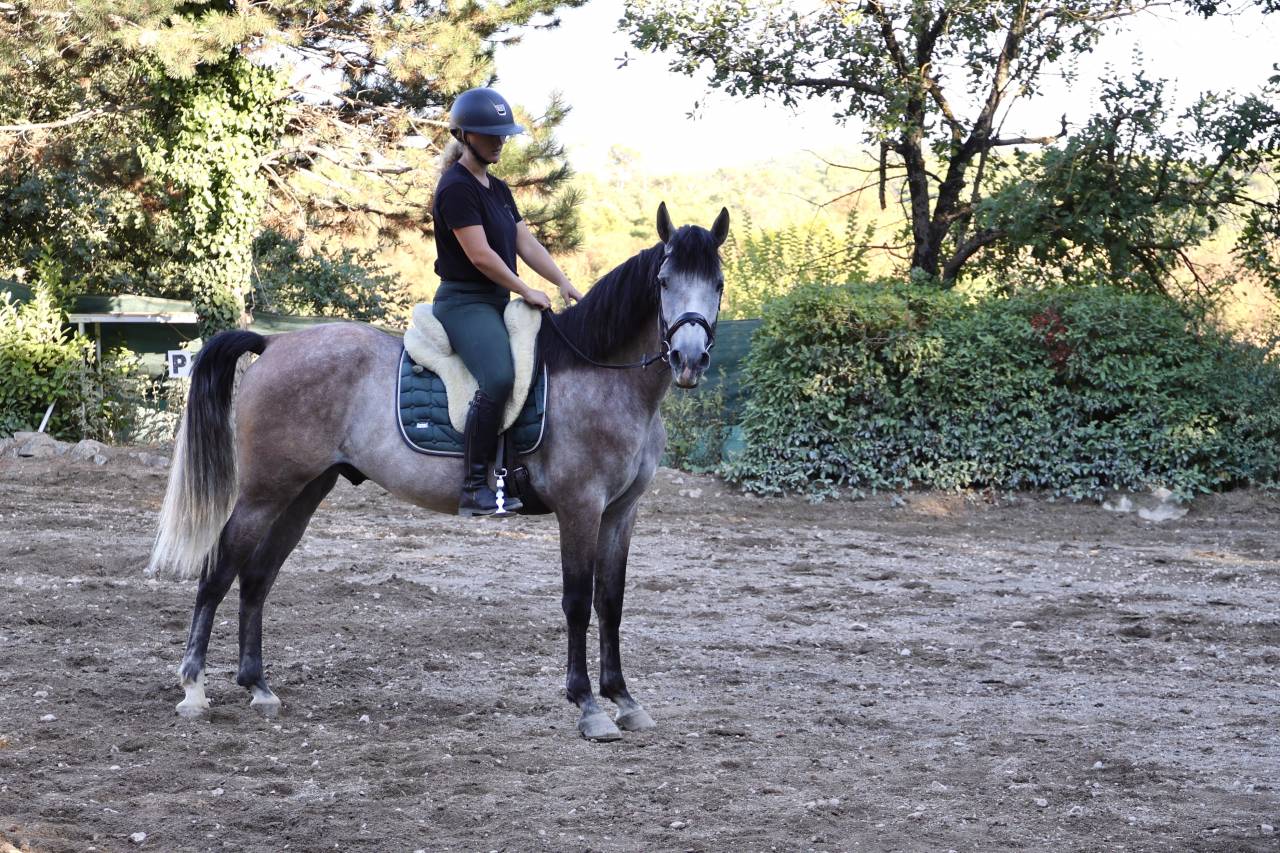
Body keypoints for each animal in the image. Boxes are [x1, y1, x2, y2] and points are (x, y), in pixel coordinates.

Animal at [148, 202, 730, 741]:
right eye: (663, 282)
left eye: (718, 284)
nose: (689, 360)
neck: (598, 373)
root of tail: (274, 343)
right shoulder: (580, 508)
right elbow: (577, 603)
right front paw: (588, 706)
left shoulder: (620, 513)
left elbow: (610, 601)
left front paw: (624, 699)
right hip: (265, 491)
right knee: (219, 569)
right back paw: (194, 688)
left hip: (304, 491)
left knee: (257, 576)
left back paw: (259, 687)